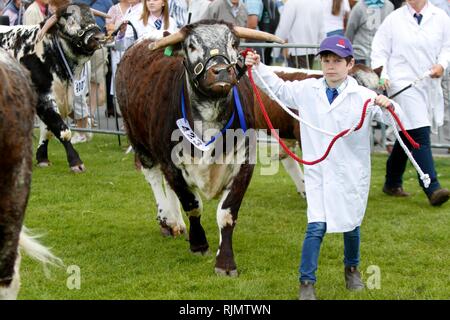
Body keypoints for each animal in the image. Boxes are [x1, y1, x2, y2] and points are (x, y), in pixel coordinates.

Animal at [0, 0, 108, 172]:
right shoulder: (43, 98)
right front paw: (75, 162)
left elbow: (47, 131)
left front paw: (42, 158)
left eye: (92, 16)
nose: (98, 37)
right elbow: (62, 130)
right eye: (70, 20)